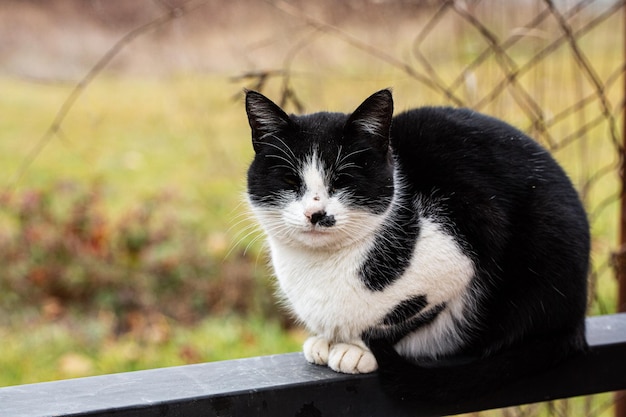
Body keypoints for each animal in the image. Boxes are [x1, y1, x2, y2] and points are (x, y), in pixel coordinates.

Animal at [241, 88, 588, 404]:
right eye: (289, 180)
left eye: (343, 180)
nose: (316, 214)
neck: (320, 266)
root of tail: (576, 322)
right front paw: (326, 340)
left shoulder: (464, 250)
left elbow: (399, 318)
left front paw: (356, 349)